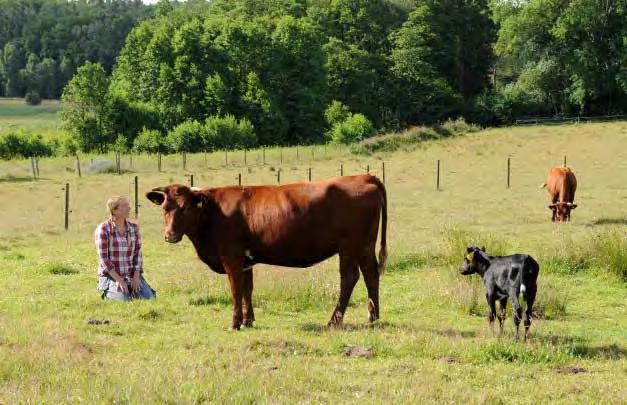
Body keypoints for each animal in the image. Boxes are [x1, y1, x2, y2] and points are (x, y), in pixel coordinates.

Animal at [146, 174, 388, 328]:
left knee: (349, 278)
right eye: (165, 207)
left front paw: (235, 323)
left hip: (349, 246)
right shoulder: (246, 261)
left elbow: (236, 290)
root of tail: (363, 176)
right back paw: (373, 316)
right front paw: (248, 321)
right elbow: (247, 290)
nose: (169, 235)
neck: (213, 212)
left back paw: (334, 320)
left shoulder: (232, 258)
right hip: (364, 246)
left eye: (186, 207)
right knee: (371, 274)